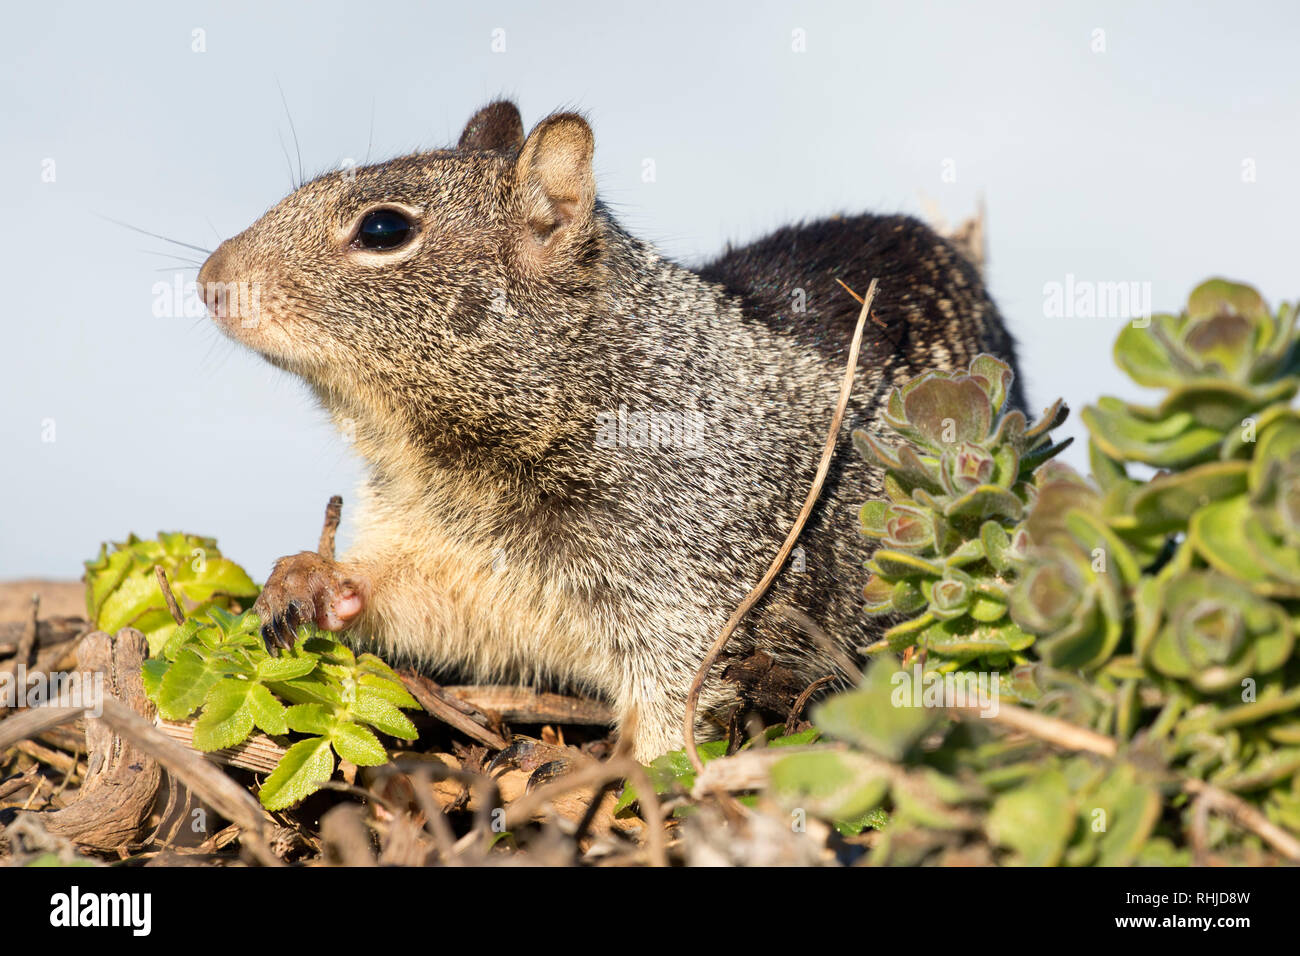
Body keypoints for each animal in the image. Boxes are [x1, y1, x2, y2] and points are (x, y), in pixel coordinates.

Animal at [196, 100, 1026, 761]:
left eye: (383, 228)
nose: (209, 280)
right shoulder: (457, 566)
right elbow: (415, 602)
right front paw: (311, 578)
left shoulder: (692, 582)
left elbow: (678, 699)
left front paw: (650, 776)